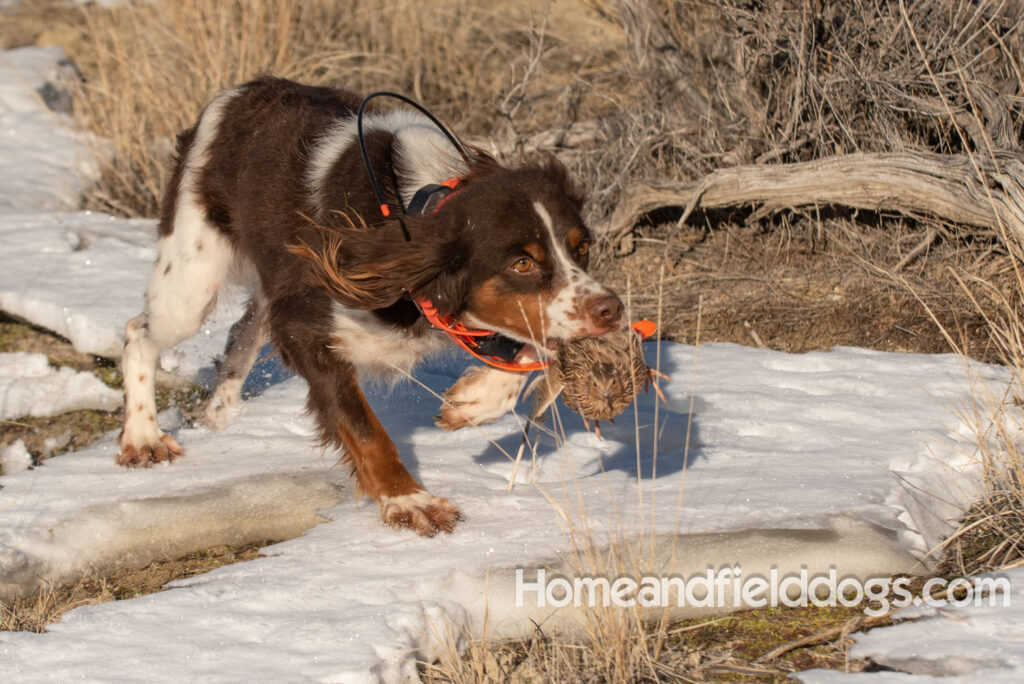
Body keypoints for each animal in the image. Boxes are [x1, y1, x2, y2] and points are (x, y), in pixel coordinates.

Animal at [116, 77, 618, 536]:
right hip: (191, 282)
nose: (610, 308)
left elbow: (531, 350)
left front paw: (469, 403)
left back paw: (219, 413)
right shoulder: (305, 325)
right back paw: (142, 438)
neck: (415, 207)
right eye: (521, 263)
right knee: (138, 334)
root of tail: (238, 91)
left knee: (244, 329)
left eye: (582, 248)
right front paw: (410, 501)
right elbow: (364, 429)